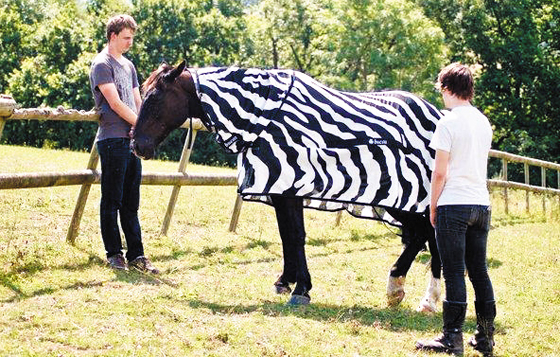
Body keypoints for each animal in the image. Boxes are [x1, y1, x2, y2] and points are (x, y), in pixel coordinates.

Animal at [132, 59, 442, 308]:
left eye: (155, 98)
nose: (137, 146)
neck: (265, 118)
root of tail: (436, 116)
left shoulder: (291, 186)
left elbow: (296, 235)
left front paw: (302, 289)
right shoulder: (280, 190)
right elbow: (286, 236)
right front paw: (286, 280)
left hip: (406, 197)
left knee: (425, 234)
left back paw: (415, 294)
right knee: (424, 235)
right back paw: (410, 293)